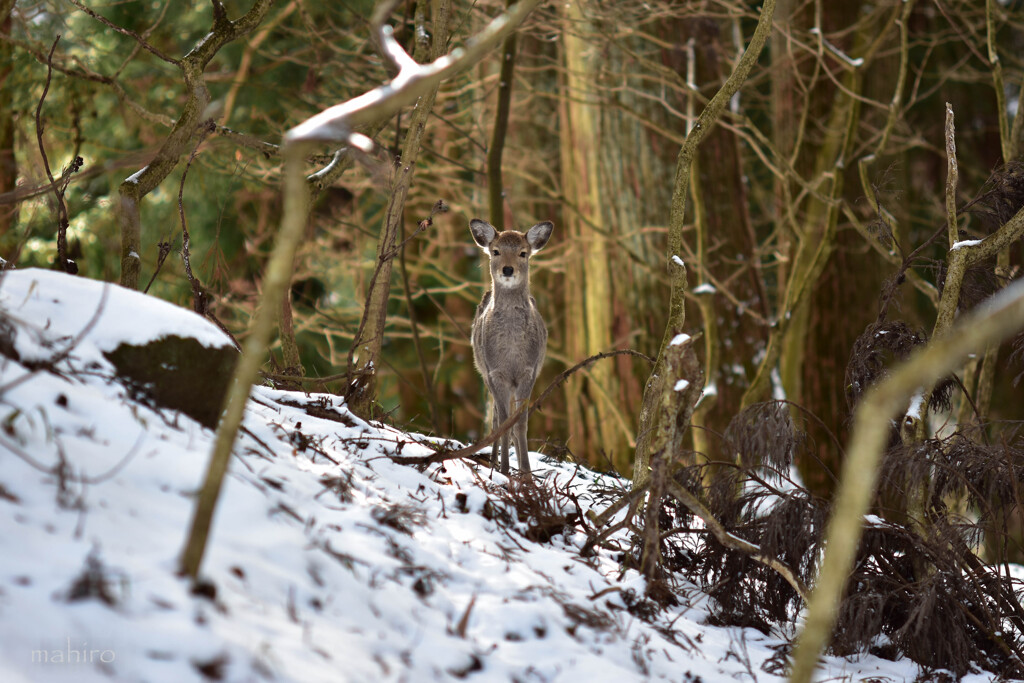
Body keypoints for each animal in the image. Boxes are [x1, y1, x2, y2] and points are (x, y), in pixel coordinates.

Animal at [468, 216, 552, 479]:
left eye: (523, 253)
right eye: (496, 251)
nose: (507, 269)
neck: (512, 351)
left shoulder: (528, 371)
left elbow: (521, 422)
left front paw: (526, 473)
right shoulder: (496, 372)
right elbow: (504, 421)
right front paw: (505, 469)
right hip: (483, 372)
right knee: (495, 418)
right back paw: (495, 461)